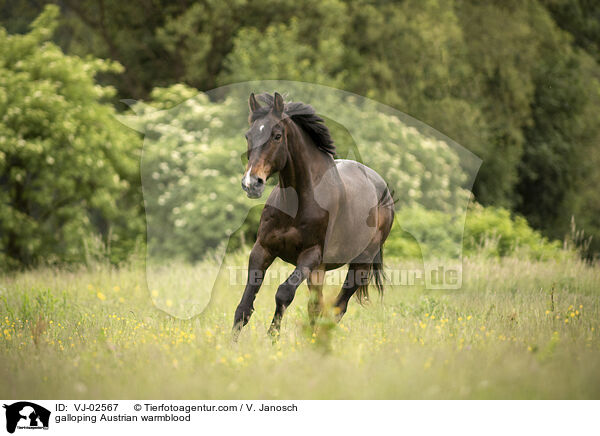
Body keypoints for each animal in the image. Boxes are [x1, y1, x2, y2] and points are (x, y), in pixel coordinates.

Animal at [232, 90, 396, 338]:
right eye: (248, 135)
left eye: (277, 136)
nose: (252, 183)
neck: (296, 204)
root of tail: (383, 189)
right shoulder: (262, 250)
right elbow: (244, 305)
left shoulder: (310, 255)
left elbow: (284, 293)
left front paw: (272, 338)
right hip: (319, 271)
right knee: (317, 307)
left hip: (360, 264)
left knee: (338, 306)